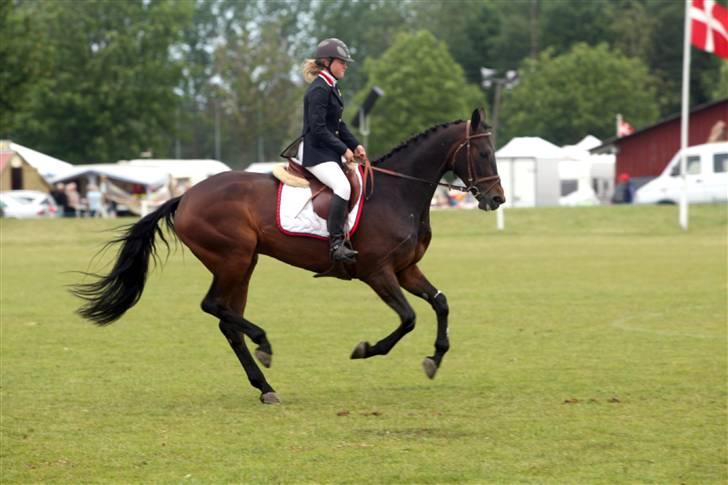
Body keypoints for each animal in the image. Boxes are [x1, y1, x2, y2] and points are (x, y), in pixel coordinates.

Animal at [75, 108, 506, 402]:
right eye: (484, 153)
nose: (497, 199)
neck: (397, 193)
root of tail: (186, 196)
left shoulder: (406, 269)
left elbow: (441, 304)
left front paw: (435, 358)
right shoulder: (378, 272)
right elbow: (409, 318)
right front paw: (367, 350)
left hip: (244, 264)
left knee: (227, 320)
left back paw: (264, 385)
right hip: (233, 258)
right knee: (214, 306)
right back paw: (263, 345)